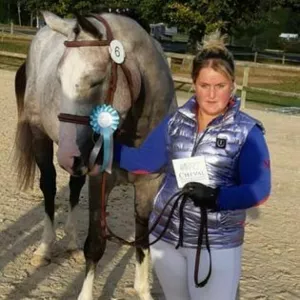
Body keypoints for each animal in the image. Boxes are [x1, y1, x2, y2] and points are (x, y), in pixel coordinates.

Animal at [14, 9, 177, 300]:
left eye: (96, 82)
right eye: (59, 80)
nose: (68, 155)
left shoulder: (149, 184)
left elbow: (142, 238)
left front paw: (143, 289)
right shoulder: (100, 179)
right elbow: (96, 243)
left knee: (73, 189)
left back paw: (71, 242)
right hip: (42, 139)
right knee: (48, 188)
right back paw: (45, 248)